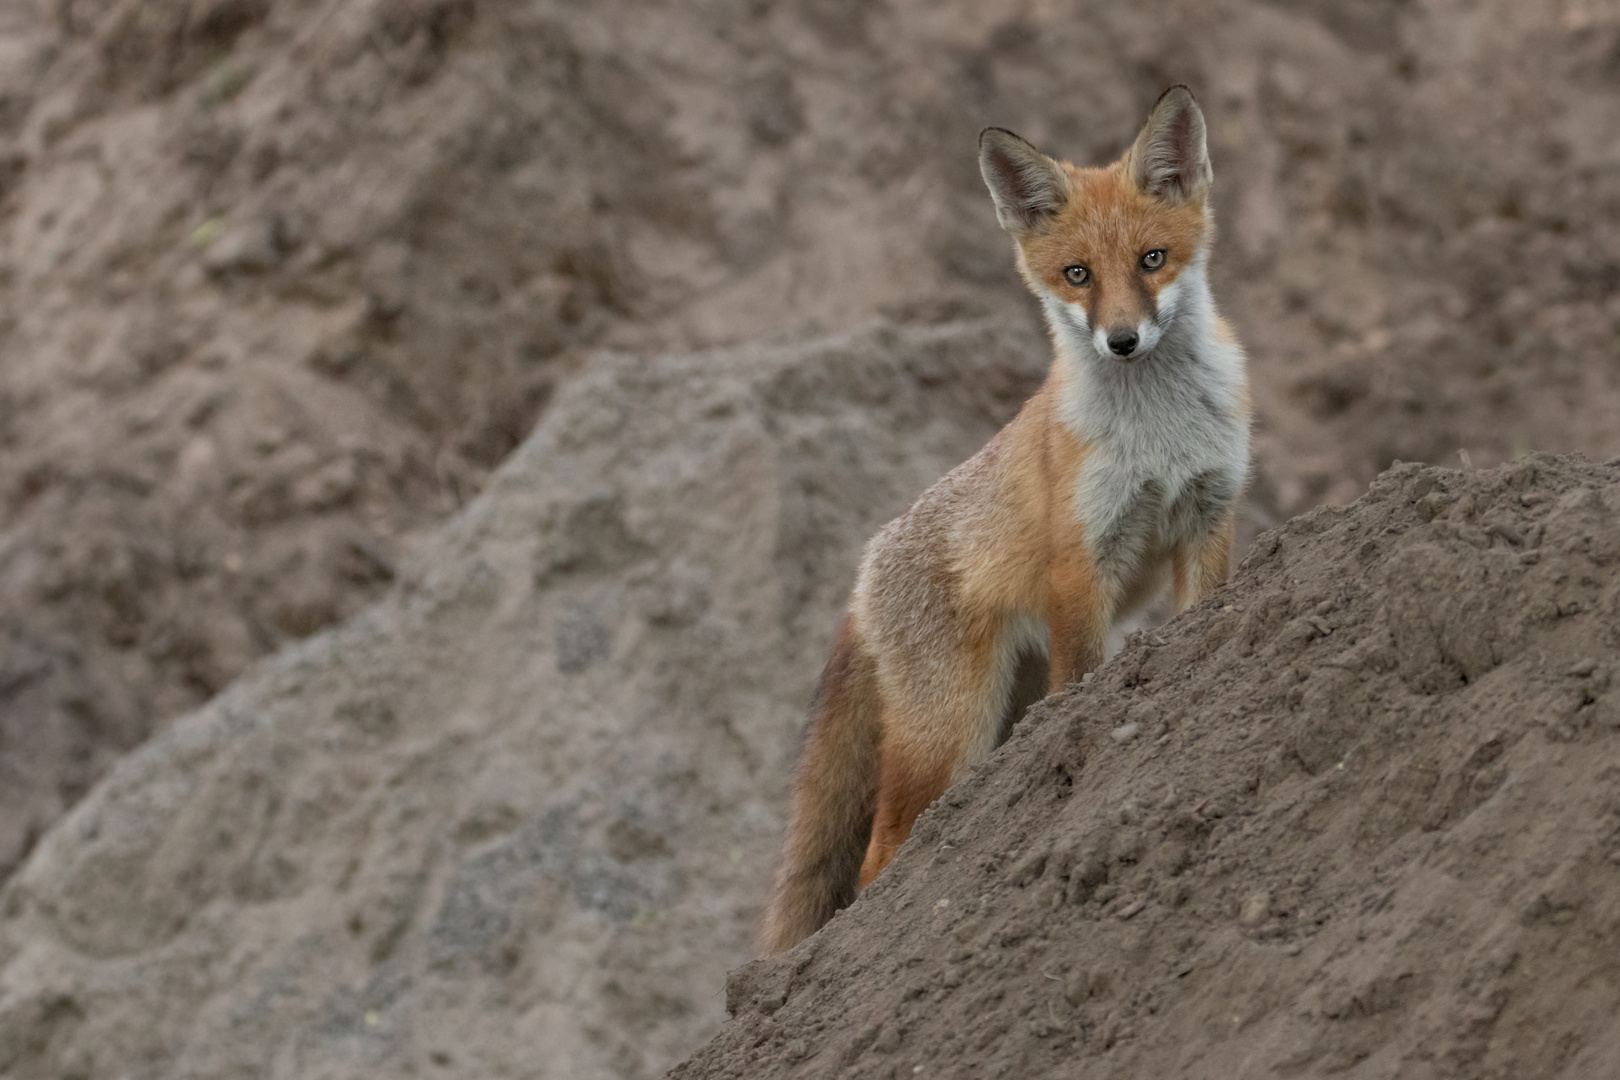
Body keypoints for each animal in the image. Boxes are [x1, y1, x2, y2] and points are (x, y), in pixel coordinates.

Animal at [758, 88, 1250, 958]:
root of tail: (864, 576)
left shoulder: (1207, 518)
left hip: (1005, 706)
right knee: (878, 859)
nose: (1122, 341)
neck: (1156, 434)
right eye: (1077, 275)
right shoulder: (1083, 560)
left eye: (1152, 260)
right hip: (950, 734)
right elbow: (1085, 676)